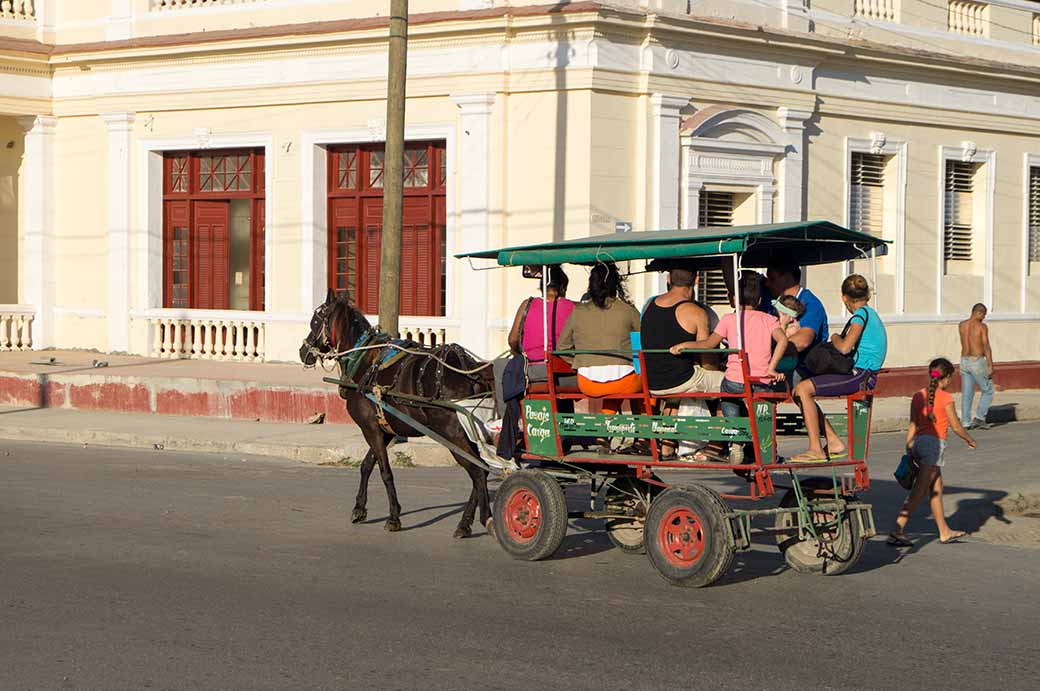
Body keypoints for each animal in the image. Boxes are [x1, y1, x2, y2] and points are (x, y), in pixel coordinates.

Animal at [301, 289, 495, 536]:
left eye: (315, 321)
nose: (303, 351)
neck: (364, 361)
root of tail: (470, 370)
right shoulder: (384, 429)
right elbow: (366, 466)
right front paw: (359, 508)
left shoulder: (371, 429)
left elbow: (385, 472)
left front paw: (393, 517)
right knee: (482, 470)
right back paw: (465, 523)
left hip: (452, 433)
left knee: (478, 471)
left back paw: (484, 518)